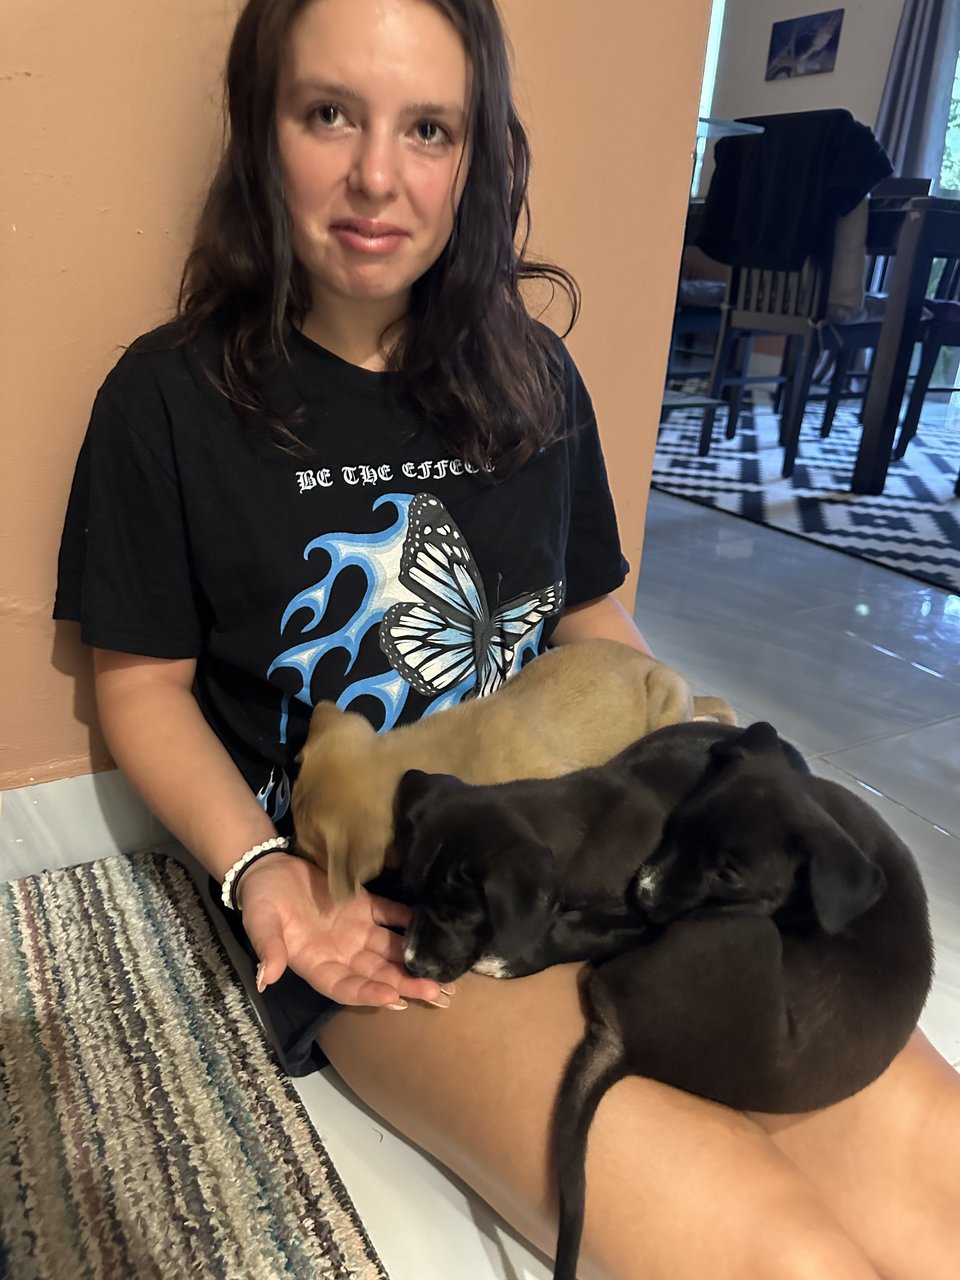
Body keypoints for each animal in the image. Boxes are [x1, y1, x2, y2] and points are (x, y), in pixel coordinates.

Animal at [394, 721, 808, 977]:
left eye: (458, 916)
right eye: (412, 895)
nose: (411, 965)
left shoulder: (643, 916)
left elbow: (575, 936)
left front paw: (508, 960)